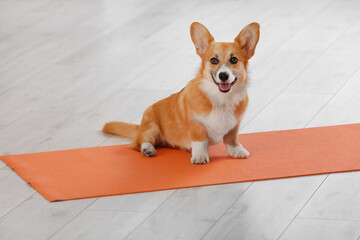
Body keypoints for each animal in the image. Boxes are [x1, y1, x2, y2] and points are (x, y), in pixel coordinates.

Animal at [102, 22, 260, 165]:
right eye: (214, 60)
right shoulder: (195, 125)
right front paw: (200, 156)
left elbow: (231, 139)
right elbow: (200, 141)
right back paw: (148, 149)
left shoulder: (235, 125)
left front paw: (237, 151)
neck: (221, 98)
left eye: (234, 60)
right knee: (139, 142)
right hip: (150, 125)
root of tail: (139, 127)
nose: (223, 76)